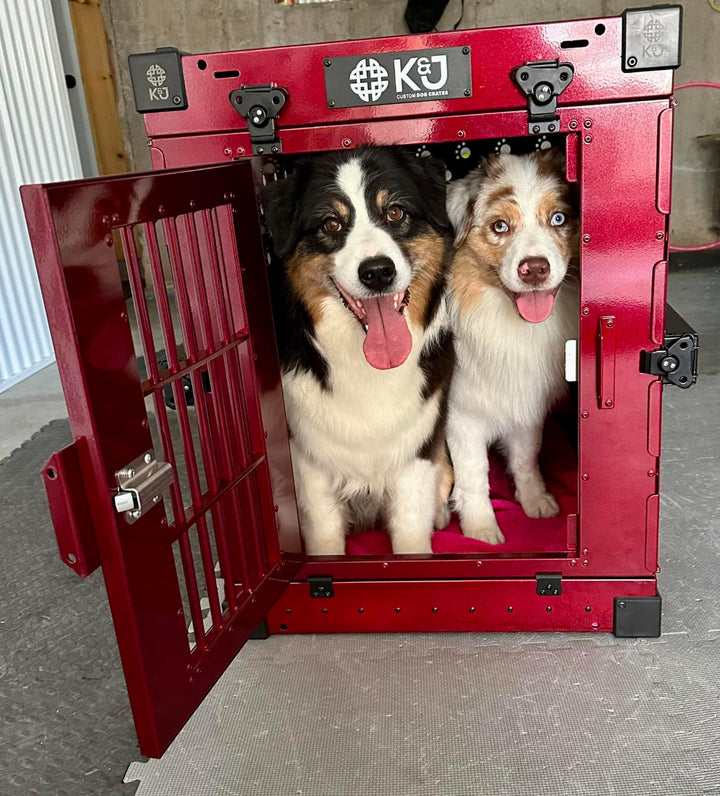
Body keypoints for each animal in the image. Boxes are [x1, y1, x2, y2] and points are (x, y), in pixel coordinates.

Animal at [444, 149, 580, 544]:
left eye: (559, 218)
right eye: (500, 226)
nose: (534, 269)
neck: (515, 328)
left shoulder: (526, 405)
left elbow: (526, 458)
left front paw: (536, 500)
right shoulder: (462, 415)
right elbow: (473, 474)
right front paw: (480, 529)